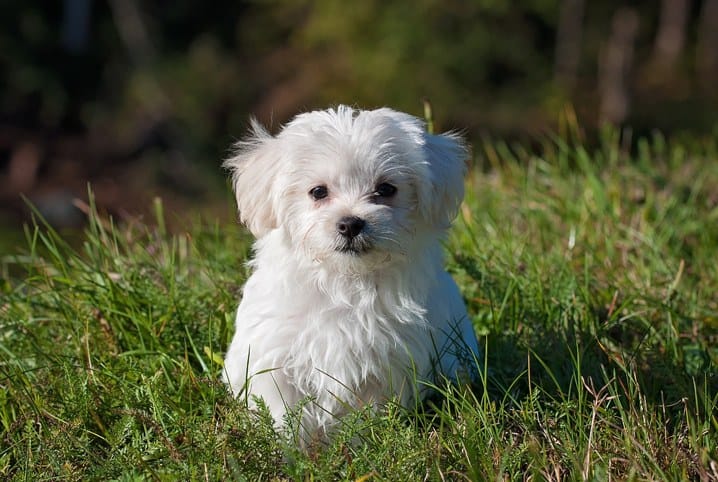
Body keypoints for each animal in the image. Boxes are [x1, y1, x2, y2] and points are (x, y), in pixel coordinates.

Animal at [224, 105, 484, 444]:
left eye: (386, 189)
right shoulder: (275, 358)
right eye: (318, 192)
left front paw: (360, 446)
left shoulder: (386, 364)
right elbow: (283, 413)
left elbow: (367, 415)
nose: (350, 223)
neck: (345, 281)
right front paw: (288, 450)